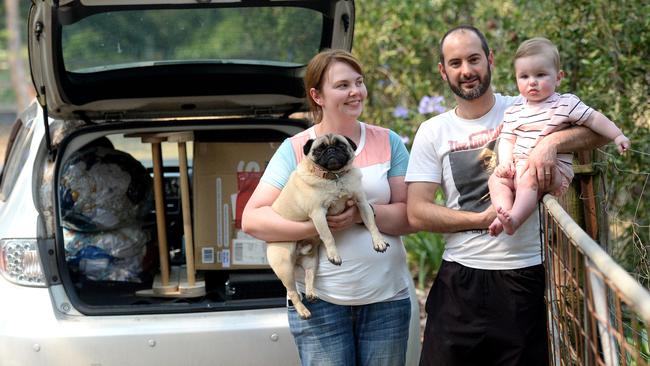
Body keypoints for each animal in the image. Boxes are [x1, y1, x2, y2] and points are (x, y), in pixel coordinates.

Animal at [266, 133, 388, 318]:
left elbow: (372, 224)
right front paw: (334, 255)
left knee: (309, 276)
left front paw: (378, 241)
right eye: (319, 149)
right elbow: (328, 236)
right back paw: (303, 311)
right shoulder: (318, 214)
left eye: (341, 145)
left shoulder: (362, 203)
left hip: (311, 261)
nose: (331, 150)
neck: (335, 177)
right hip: (284, 265)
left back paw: (311, 293)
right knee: (293, 292)